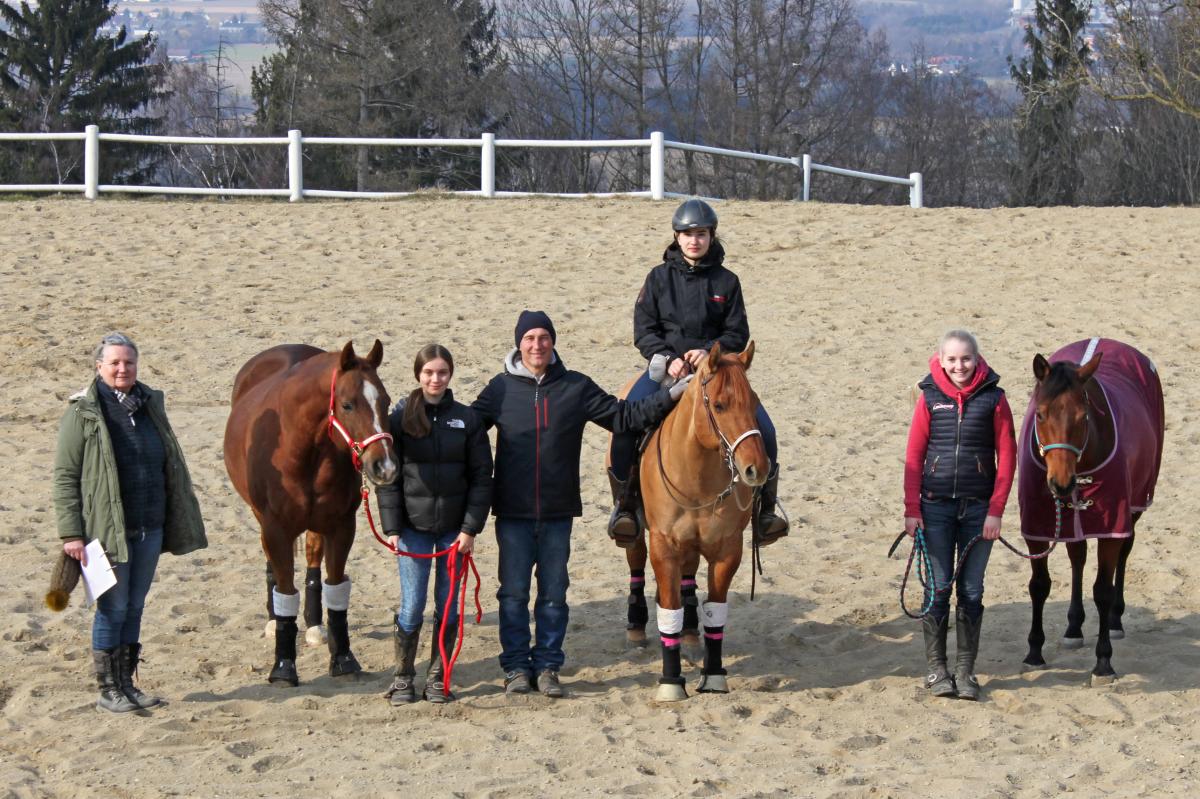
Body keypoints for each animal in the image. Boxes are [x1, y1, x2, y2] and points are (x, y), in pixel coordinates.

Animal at [220, 338, 398, 681]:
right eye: (347, 405)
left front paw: (343, 659)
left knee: (314, 564)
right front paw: (283, 665)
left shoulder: (341, 527)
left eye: (386, 401)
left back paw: (315, 626)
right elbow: (285, 590)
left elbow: (336, 589)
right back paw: (273, 620)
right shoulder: (276, 530)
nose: (384, 466)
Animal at [624, 340, 772, 695]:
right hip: (636, 532)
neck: (697, 478)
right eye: (719, 405)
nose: (756, 469)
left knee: (689, 575)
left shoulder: (728, 549)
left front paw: (714, 675)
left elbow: (715, 613)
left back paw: (691, 634)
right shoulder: (663, 547)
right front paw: (671, 682)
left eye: (755, 403)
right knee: (635, 557)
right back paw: (636, 627)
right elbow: (669, 611)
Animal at [1022, 338, 1161, 681]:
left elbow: (1102, 590)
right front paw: (1034, 652)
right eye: (1040, 415)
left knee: (1125, 551)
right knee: (1077, 558)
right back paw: (1073, 627)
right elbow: (1039, 585)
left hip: (1135, 504)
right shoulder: (1036, 527)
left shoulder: (1113, 524)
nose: (1061, 483)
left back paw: (1115, 621)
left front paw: (1103, 661)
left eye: (1083, 416)